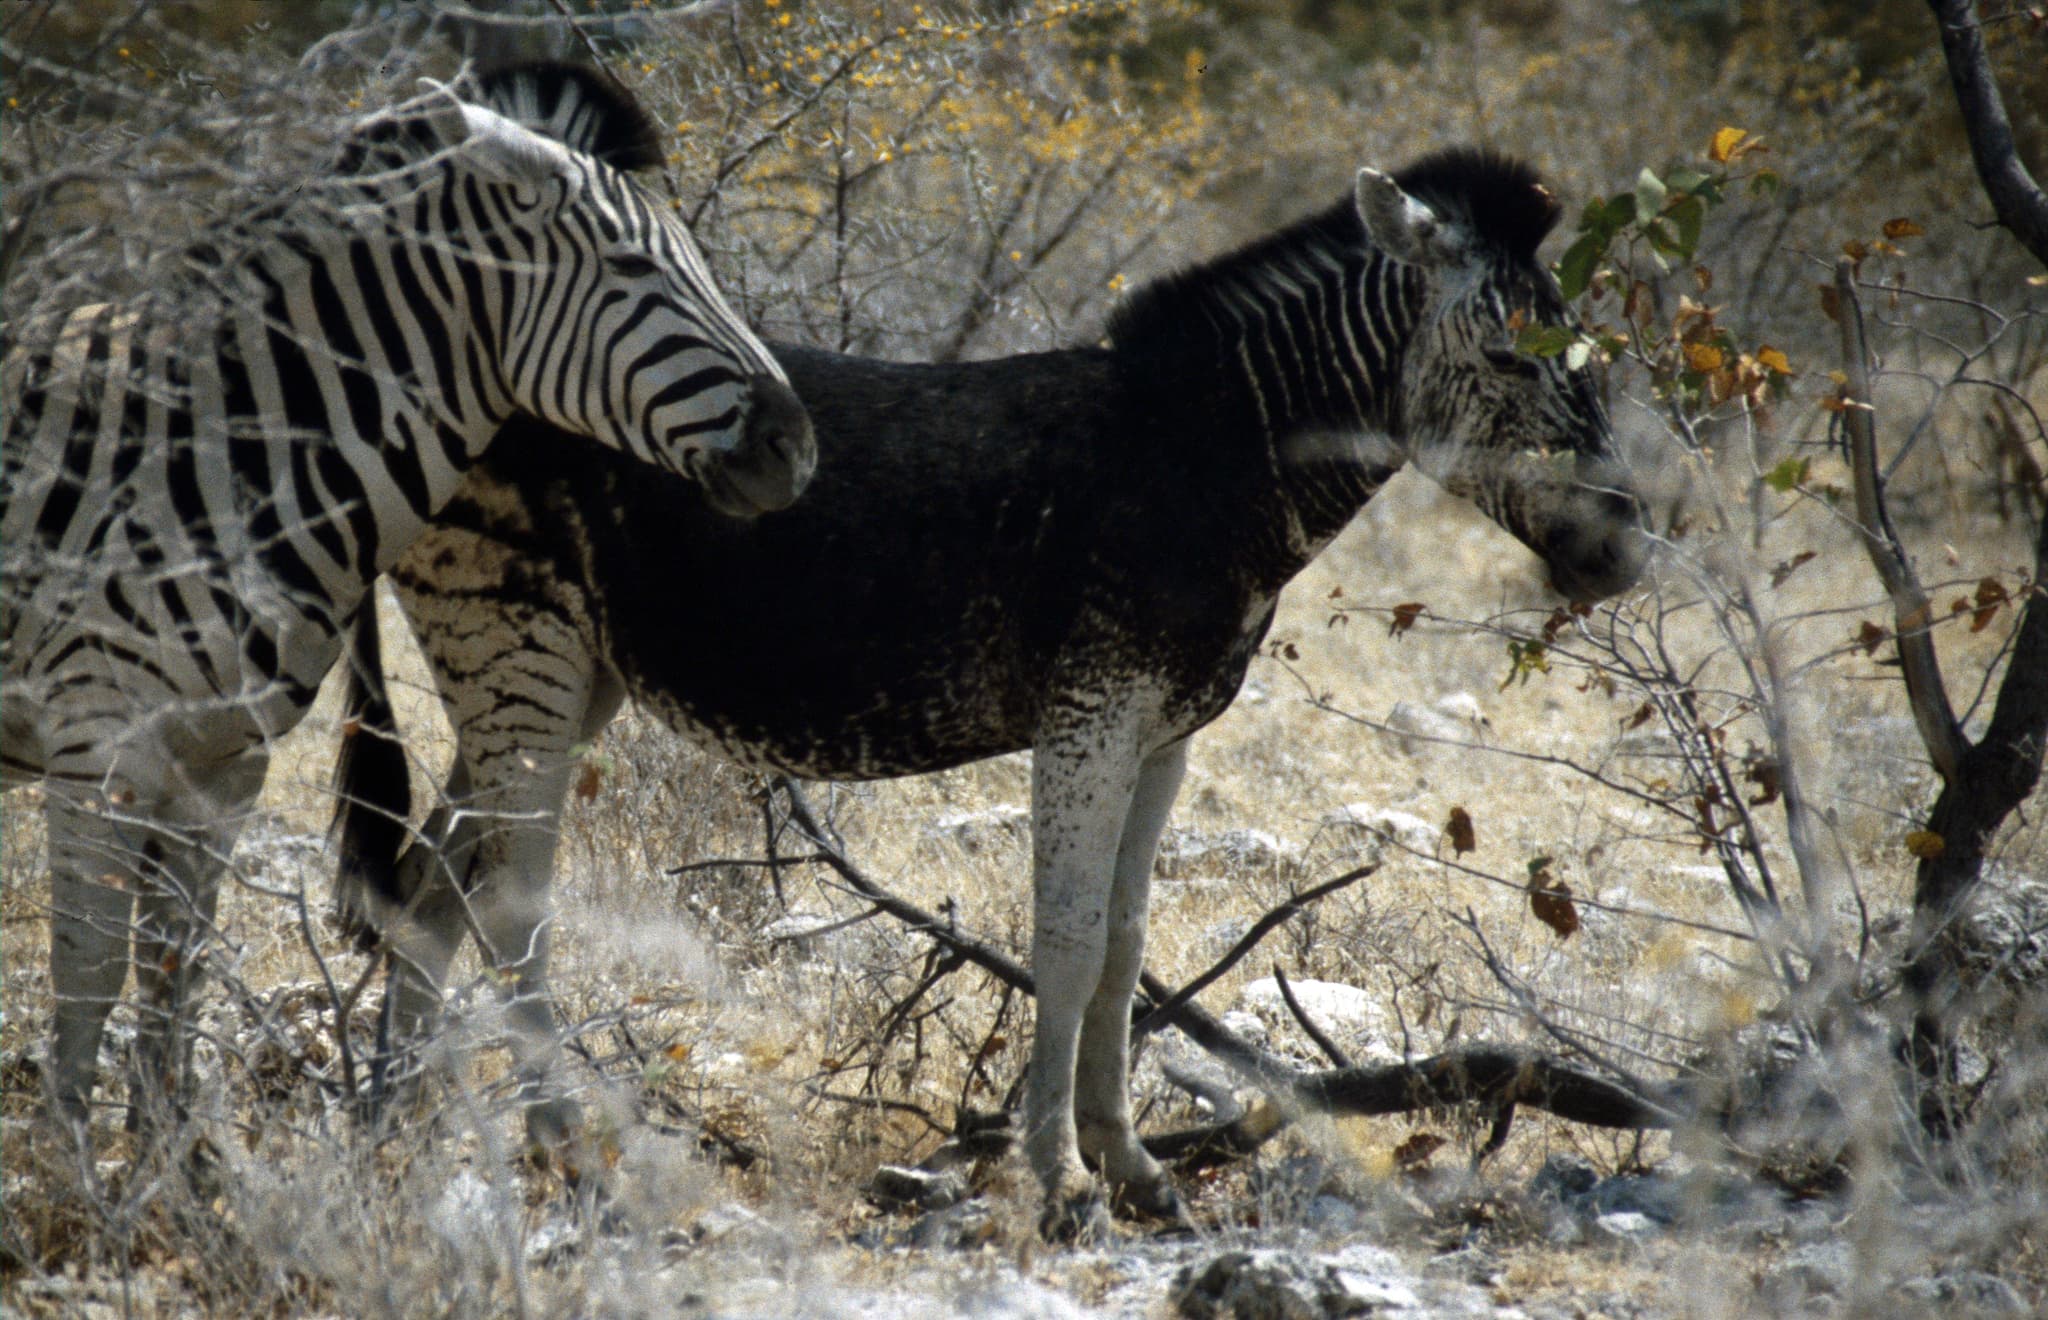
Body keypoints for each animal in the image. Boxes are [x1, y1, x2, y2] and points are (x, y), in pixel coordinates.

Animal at [0, 62, 815, 1132]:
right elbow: (90, 976)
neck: (228, 456)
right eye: (635, 269)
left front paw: (166, 1162)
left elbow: (175, 975)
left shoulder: (223, 762)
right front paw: (74, 1169)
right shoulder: (95, 742)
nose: (796, 448)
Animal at [333, 147, 1648, 1237]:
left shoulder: (1165, 733)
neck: (1211, 459)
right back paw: (561, 1147)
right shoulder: (1091, 714)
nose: (1626, 547)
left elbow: (1125, 943)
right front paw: (1059, 1181)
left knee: (430, 883)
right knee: (505, 901)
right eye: (1506, 357)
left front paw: (1134, 1170)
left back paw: (400, 1134)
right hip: (518, 641)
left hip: (557, 672)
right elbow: (1063, 943)